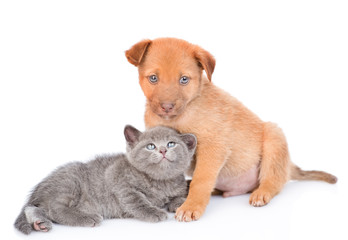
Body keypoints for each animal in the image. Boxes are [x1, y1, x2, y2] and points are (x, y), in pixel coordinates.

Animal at [13, 125, 196, 234]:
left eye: (171, 143)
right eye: (150, 146)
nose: (163, 150)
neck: (160, 182)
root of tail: (40, 188)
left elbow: (180, 196)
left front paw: (179, 204)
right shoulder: (121, 184)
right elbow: (138, 201)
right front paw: (155, 212)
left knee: (33, 208)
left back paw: (39, 222)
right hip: (70, 183)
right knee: (55, 208)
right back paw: (87, 218)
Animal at [125, 38, 338, 223]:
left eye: (184, 79)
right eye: (153, 78)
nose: (167, 107)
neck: (182, 114)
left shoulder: (213, 147)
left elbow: (201, 180)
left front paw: (191, 207)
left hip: (273, 136)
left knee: (273, 180)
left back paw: (262, 193)